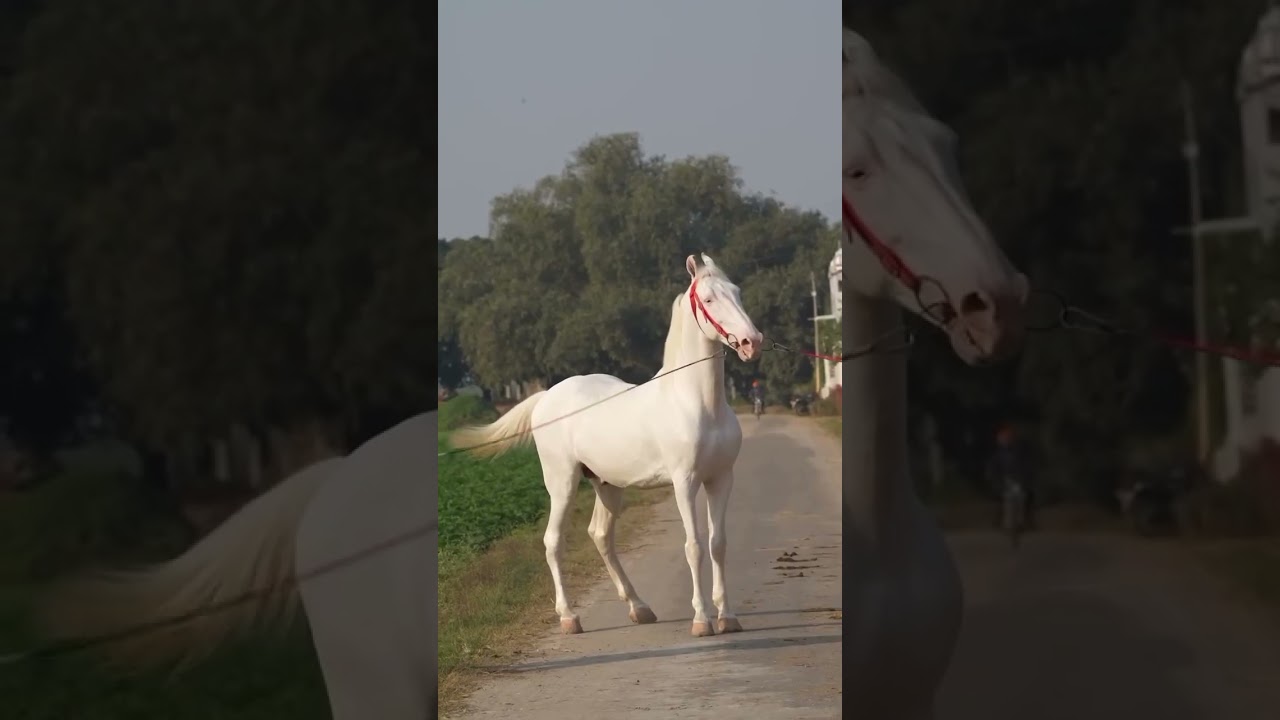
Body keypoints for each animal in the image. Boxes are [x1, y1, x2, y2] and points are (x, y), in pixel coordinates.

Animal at [451, 253, 764, 638]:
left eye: (737, 292)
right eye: (708, 299)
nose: (752, 342)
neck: (696, 402)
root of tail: (545, 397)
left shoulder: (720, 479)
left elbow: (718, 545)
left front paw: (727, 617)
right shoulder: (684, 483)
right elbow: (694, 546)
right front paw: (702, 619)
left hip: (607, 486)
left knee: (600, 535)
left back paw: (639, 607)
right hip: (562, 483)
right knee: (553, 541)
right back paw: (569, 617)